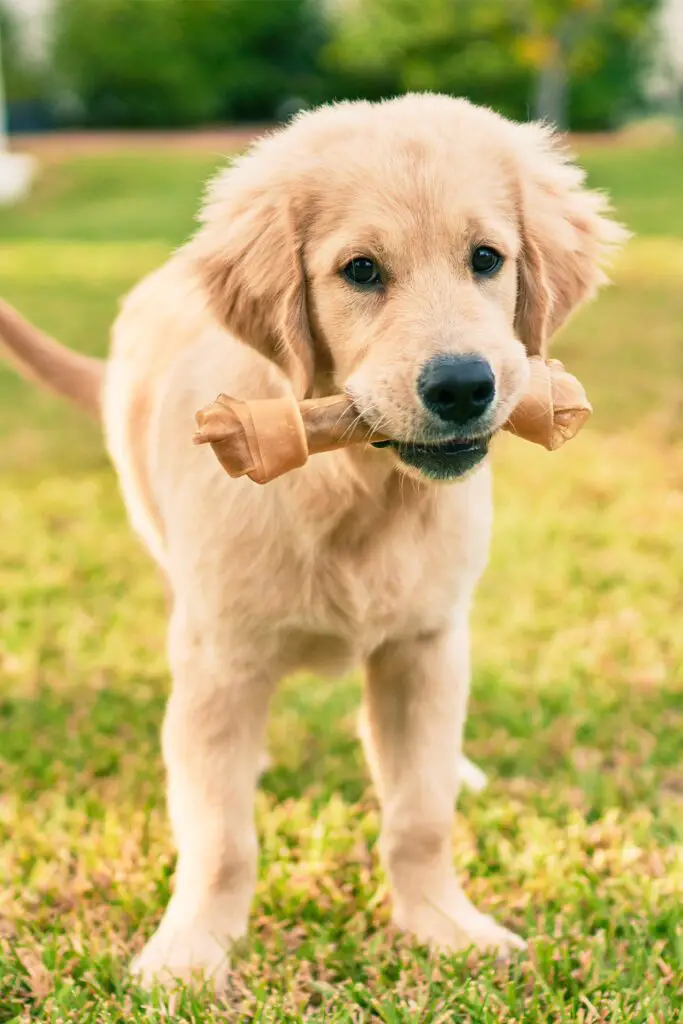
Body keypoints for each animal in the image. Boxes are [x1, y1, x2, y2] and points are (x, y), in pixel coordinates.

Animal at [2, 92, 626, 987]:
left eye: (486, 258)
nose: (464, 386)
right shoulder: (221, 659)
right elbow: (220, 834)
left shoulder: (425, 646)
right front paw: (191, 949)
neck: (358, 491)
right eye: (360, 271)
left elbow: (419, 812)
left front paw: (445, 926)